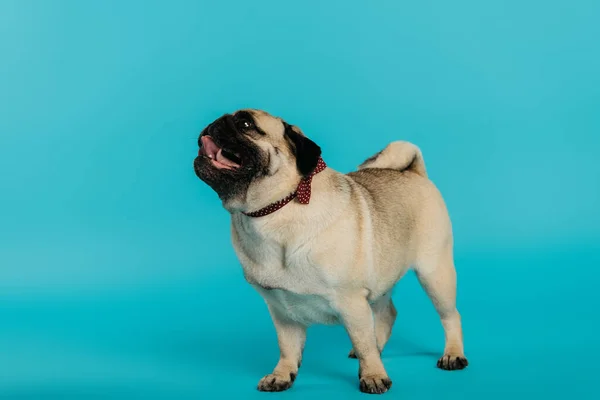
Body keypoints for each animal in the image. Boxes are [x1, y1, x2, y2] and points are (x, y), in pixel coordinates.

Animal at [195, 108, 466, 394]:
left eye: (245, 124)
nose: (215, 123)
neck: (275, 209)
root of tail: (414, 172)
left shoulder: (351, 302)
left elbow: (363, 342)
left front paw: (373, 375)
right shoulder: (282, 311)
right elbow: (287, 347)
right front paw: (281, 375)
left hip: (435, 274)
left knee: (450, 316)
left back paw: (453, 354)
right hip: (381, 279)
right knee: (387, 314)